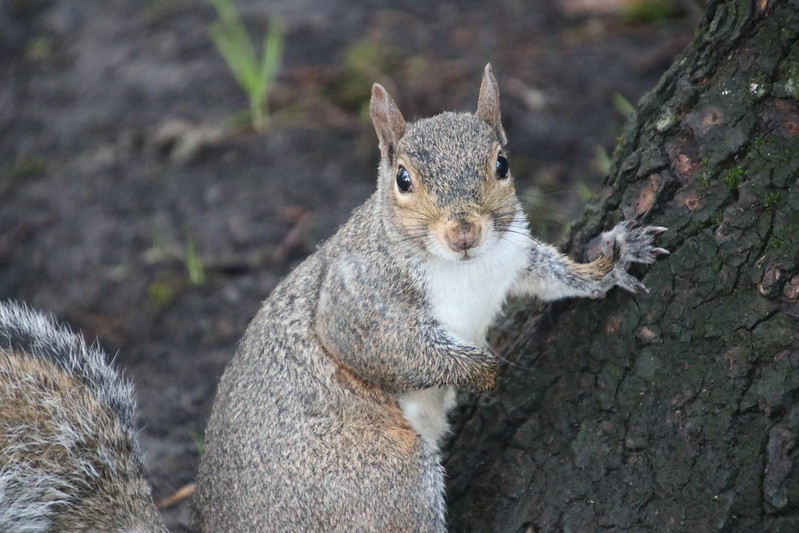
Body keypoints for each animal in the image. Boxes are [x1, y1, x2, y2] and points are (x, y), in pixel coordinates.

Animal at [194, 64, 668, 528]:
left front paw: (608, 267)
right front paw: (485, 372)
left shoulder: (512, 257)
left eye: (502, 164)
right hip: (383, 475)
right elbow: (394, 350)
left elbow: (552, 276)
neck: (464, 267)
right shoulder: (358, 303)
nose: (464, 233)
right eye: (403, 179)